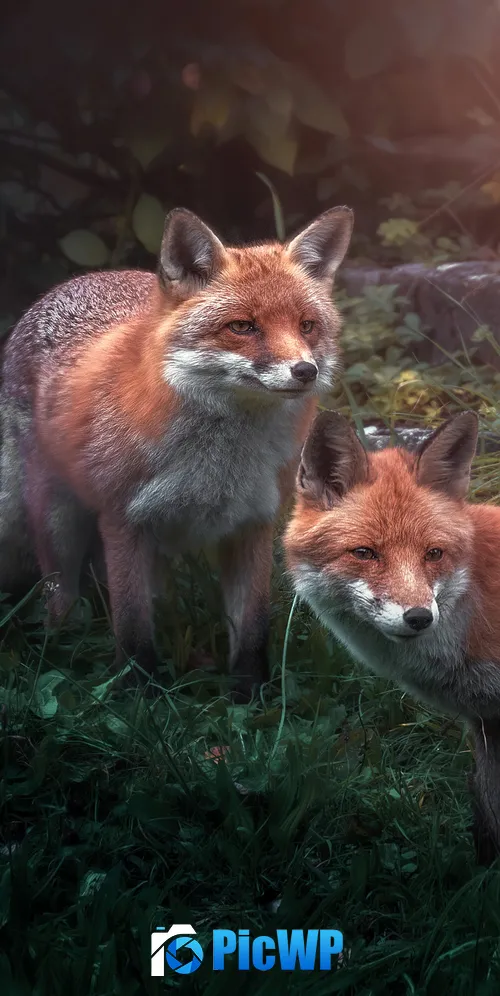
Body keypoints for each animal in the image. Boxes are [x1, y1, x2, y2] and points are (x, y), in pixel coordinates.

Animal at [0, 205, 353, 698]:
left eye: (307, 326)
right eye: (242, 326)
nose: (305, 370)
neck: (219, 466)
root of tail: (74, 282)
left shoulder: (255, 523)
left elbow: (252, 628)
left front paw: (250, 697)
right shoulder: (123, 521)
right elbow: (132, 629)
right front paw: (137, 696)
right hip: (58, 525)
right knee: (61, 600)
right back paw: (58, 651)